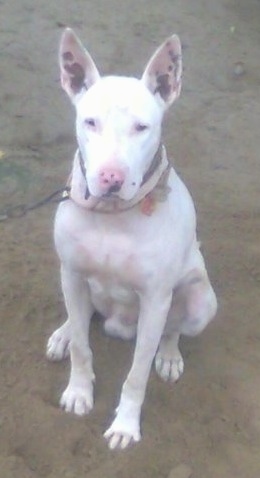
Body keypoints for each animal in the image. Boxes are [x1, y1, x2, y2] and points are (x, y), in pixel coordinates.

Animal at [46, 29, 217, 448]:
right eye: (89, 122)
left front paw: (125, 425)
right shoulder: (72, 272)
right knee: (80, 317)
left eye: (142, 127)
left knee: (172, 329)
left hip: (200, 301)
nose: (111, 178)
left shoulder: (155, 300)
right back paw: (63, 333)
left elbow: (136, 376)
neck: (111, 217)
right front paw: (79, 391)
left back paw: (168, 355)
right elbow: (82, 347)